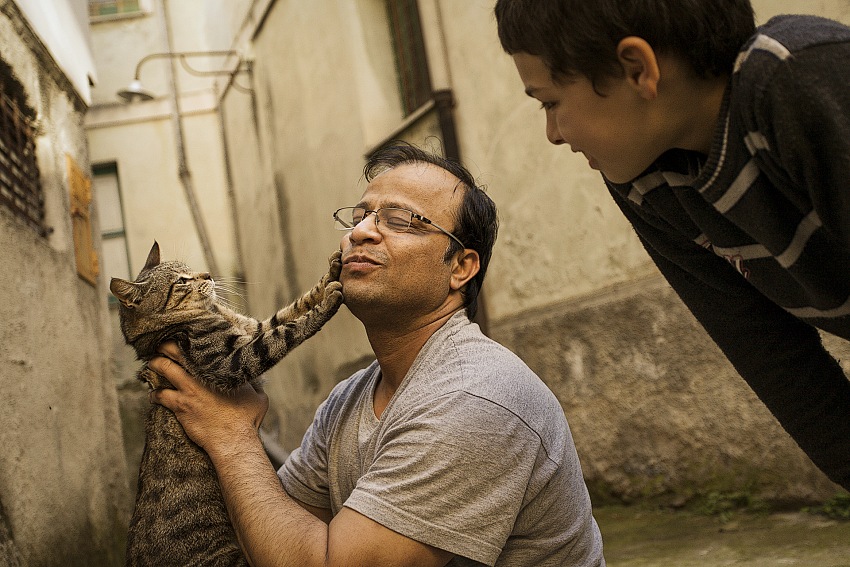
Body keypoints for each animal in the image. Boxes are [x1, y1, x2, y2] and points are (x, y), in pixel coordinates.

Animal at [111, 242, 342, 564]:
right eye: (181, 281)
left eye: (191, 269)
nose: (207, 274)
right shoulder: (233, 360)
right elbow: (287, 331)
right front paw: (327, 305)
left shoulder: (252, 328)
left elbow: (292, 309)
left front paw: (332, 273)